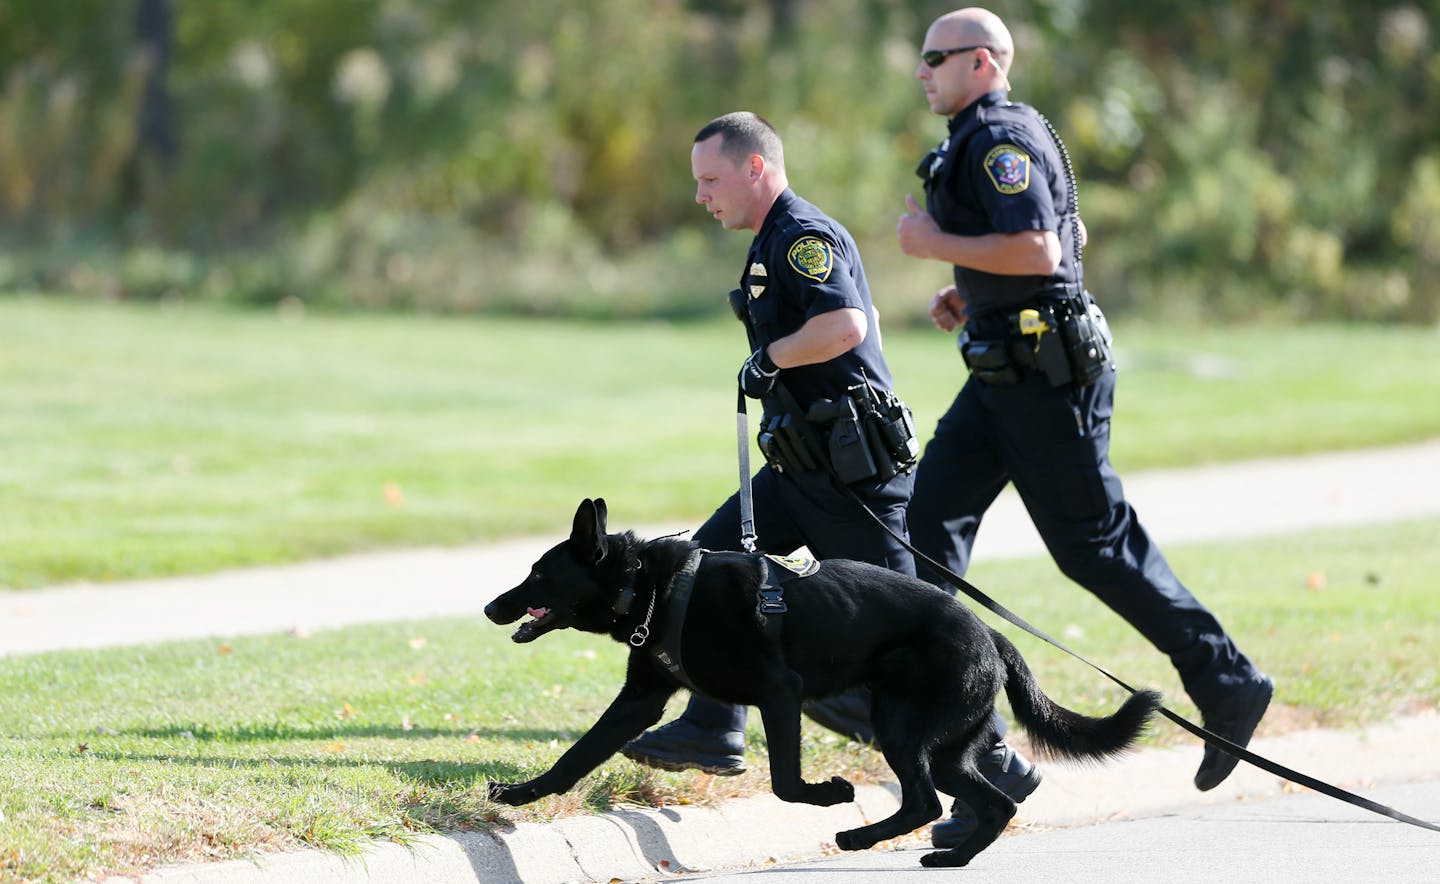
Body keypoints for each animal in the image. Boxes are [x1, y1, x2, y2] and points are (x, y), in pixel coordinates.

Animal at [483, 501, 1157, 869]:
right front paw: (519, 795)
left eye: (538, 574)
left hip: (901, 726)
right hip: (943, 746)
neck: (652, 586)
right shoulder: (639, 701)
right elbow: (577, 756)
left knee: (925, 802)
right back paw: (950, 856)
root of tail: (991, 635)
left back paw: (856, 835)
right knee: (994, 804)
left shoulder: (780, 693)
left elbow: (785, 782)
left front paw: (829, 793)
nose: (491, 607)